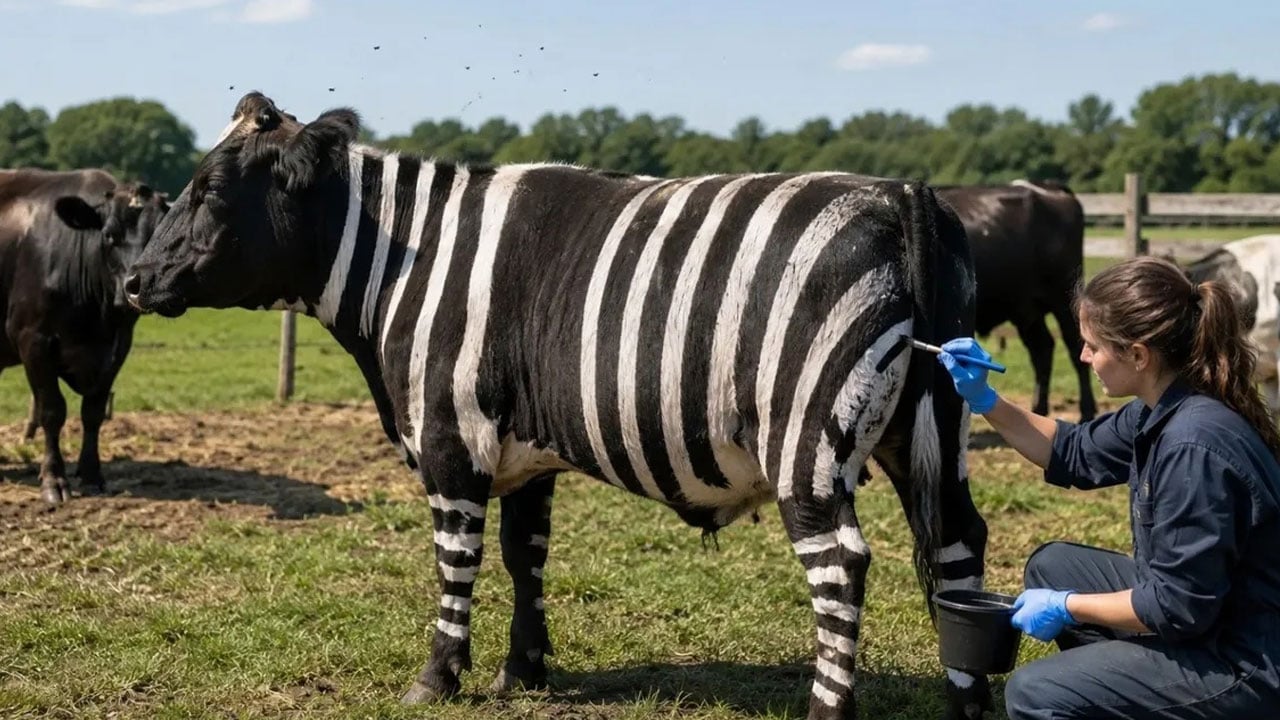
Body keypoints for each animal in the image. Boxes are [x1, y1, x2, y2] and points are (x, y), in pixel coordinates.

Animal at [124, 92, 993, 720]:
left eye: (206, 192)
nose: (130, 281)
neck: (410, 266)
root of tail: (901, 193)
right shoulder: (526, 453)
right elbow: (524, 556)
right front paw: (525, 670)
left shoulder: (453, 441)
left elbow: (456, 560)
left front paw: (439, 677)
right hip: (936, 429)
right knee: (959, 547)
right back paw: (968, 702)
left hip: (806, 441)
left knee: (840, 563)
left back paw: (827, 711)